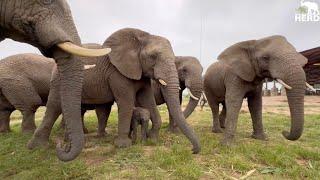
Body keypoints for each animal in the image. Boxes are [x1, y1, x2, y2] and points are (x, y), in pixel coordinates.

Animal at [28, 28, 201, 161]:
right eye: (153, 57)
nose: (192, 150)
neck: (142, 36)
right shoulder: (117, 73)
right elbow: (126, 102)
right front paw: (124, 145)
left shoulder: (141, 74)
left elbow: (148, 100)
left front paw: (152, 139)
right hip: (59, 80)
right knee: (54, 107)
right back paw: (38, 147)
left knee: (94, 110)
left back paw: (98, 137)